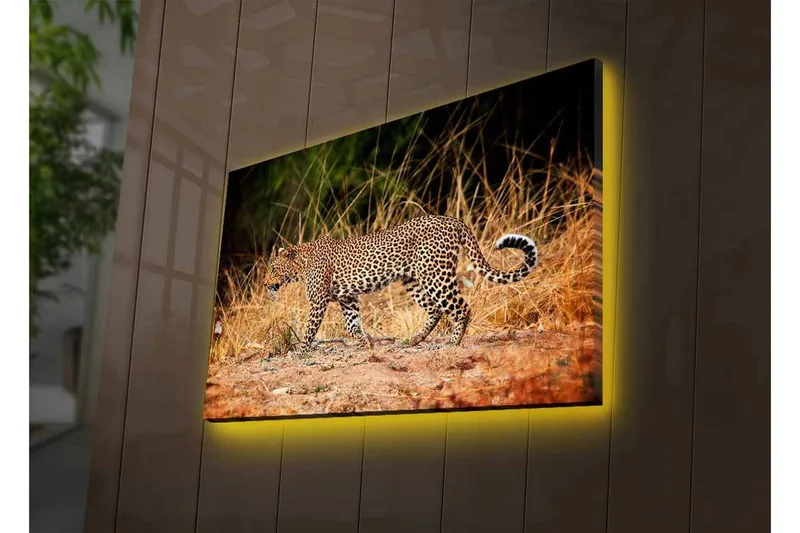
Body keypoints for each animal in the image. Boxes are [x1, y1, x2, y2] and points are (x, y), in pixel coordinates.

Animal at [263, 214, 538, 353]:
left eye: (273, 269)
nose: (265, 284)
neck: (302, 264)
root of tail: (452, 220)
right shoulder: (348, 299)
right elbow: (352, 327)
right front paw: (367, 343)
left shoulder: (318, 301)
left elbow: (310, 329)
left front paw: (300, 352)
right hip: (413, 280)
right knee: (435, 309)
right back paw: (414, 339)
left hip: (435, 275)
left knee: (461, 308)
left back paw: (453, 343)